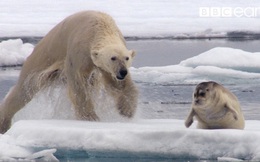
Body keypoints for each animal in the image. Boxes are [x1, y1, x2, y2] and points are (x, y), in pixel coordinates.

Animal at [0, 10, 138, 134]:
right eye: (113, 58)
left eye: (126, 58)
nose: (122, 72)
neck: (101, 27)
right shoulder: (79, 50)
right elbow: (78, 83)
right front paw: (90, 117)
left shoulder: (105, 66)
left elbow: (118, 85)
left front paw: (127, 110)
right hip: (42, 59)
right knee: (23, 90)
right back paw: (4, 123)